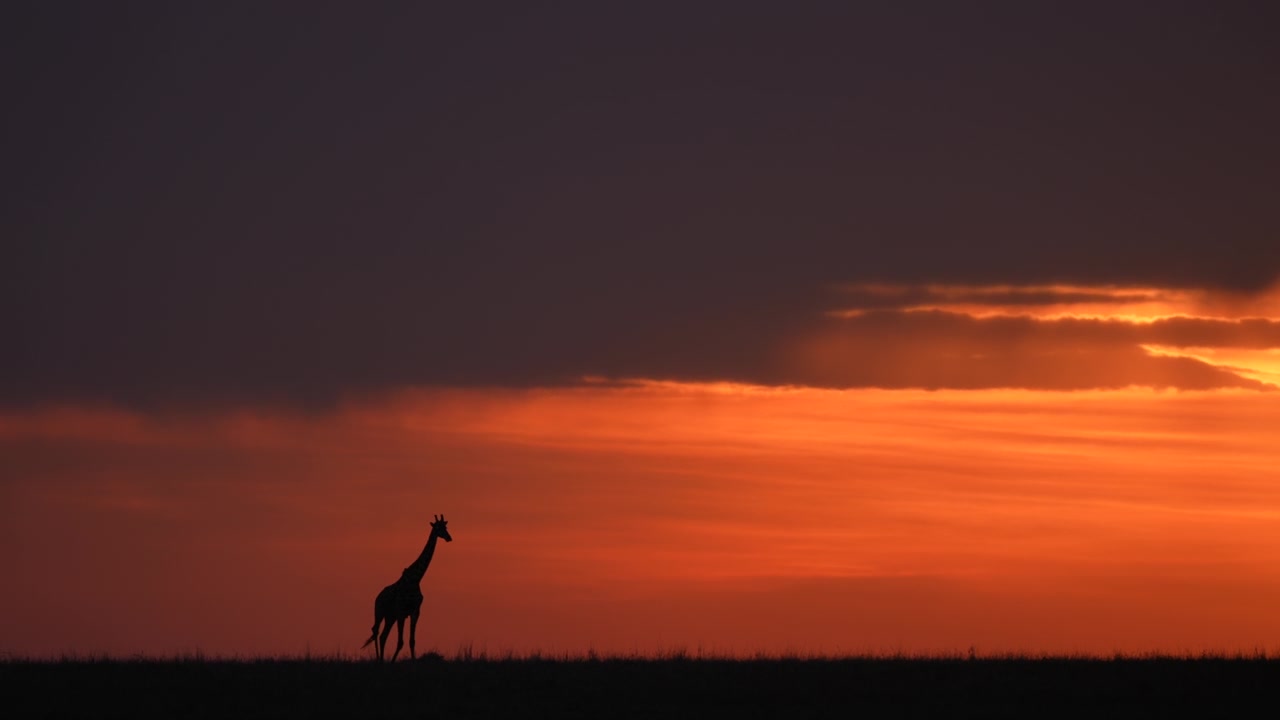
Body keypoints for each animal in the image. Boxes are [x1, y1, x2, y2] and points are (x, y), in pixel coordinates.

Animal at [362, 514, 453, 661]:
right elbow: (400, 642)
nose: (449, 538)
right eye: (438, 528)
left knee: (383, 636)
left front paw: (412, 661)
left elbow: (411, 641)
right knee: (375, 631)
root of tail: (377, 597)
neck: (416, 578)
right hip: (379, 612)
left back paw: (381, 659)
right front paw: (392, 661)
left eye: (446, 527)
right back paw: (378, 659)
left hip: (390, 617)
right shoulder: (401, 612)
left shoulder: (415, 612)